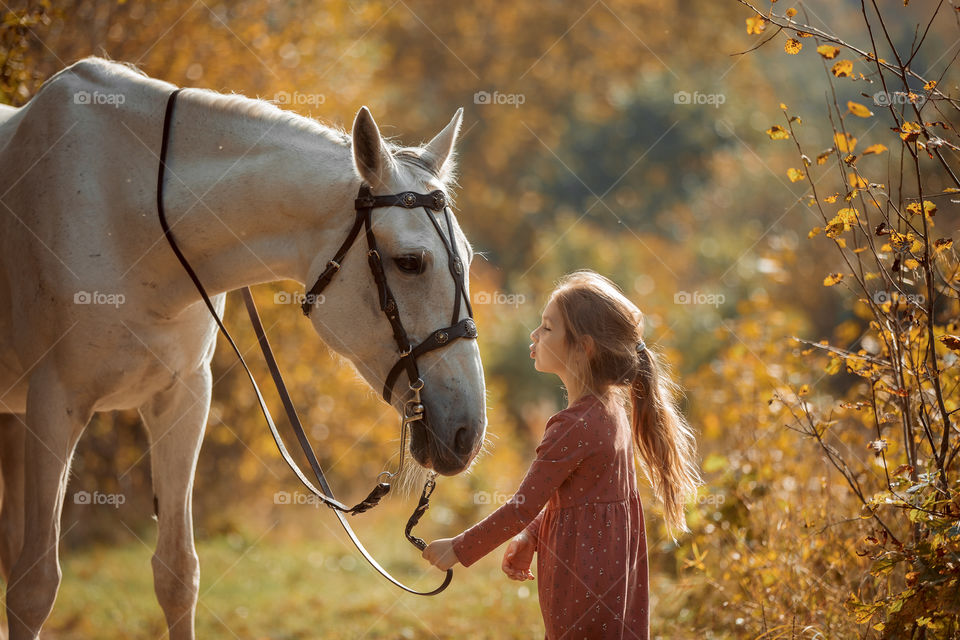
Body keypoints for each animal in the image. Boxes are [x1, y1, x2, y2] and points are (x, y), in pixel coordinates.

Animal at [0, 57, 484, 636]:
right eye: (410, 263)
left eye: (468, 259)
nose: (468, 432)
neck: (132, 218)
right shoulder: (54, 405)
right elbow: (34, 588)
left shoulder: (182, 401)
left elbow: (176, 575)